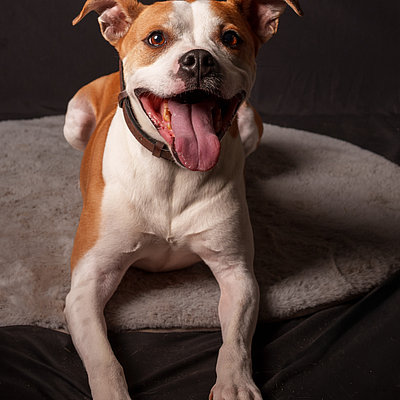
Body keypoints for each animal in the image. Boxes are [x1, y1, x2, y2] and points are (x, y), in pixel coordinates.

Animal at [63, 0, 302, 399]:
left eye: (230, 38)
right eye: (156, 38)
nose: (199, 60)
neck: (174, 170)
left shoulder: (237, 273)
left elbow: (236, 342)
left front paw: (235, 385)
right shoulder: (89, 281)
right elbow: (103, 357)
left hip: (250, 122)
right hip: (74, 118)